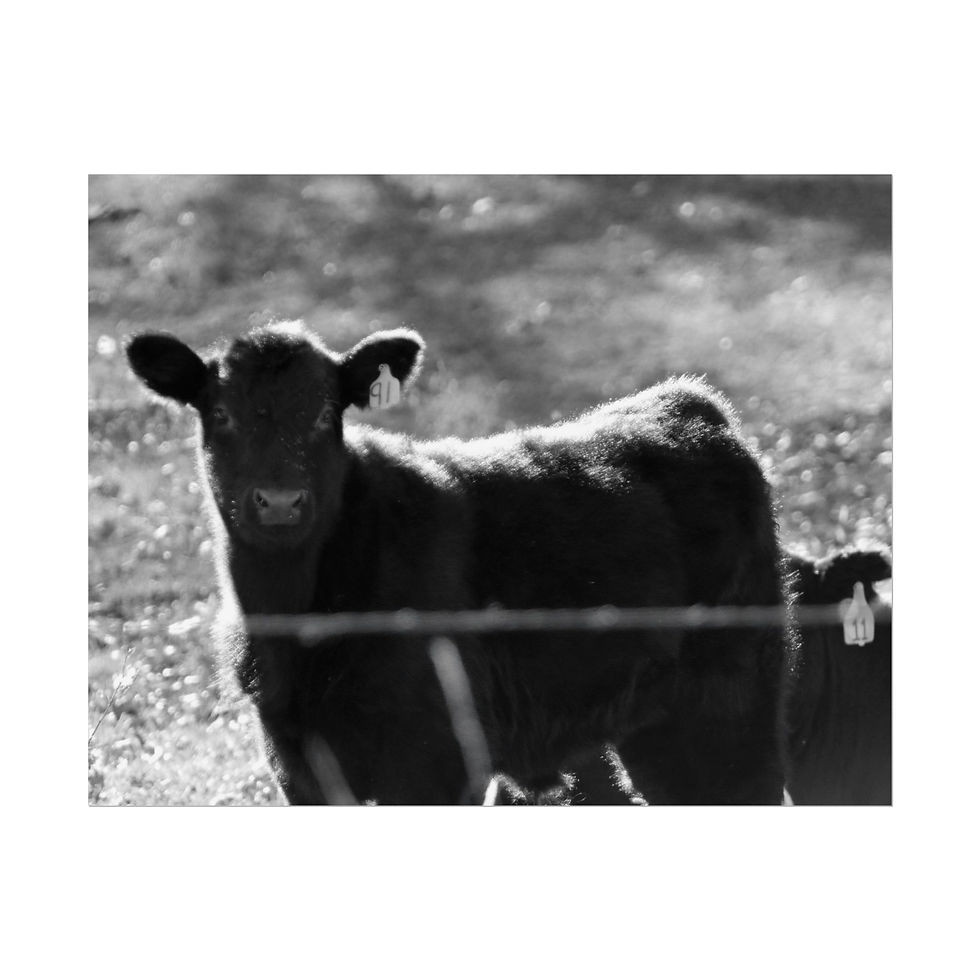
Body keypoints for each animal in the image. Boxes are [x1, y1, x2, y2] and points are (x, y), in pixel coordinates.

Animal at [126, 320, 790, 805]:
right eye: (221, 414)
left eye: (324, 413)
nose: (281, 500)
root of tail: (687, 403)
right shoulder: (298, 768)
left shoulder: (437, 762)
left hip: (730, 716)